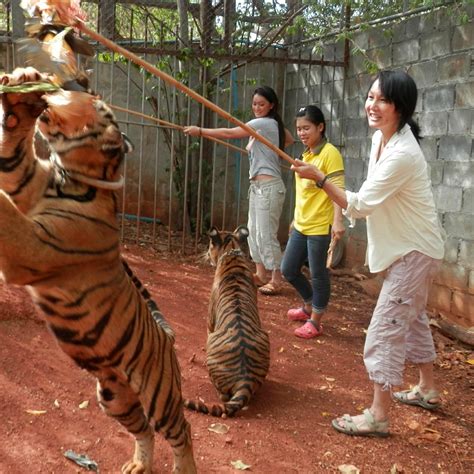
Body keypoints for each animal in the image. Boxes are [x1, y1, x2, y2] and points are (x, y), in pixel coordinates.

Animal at [0, 67, 196, 474]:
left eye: (96, 102)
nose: (77, 82)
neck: (69, 177)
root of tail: (168, 339)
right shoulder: (23, 180)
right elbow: (12, 156)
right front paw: (22, 89)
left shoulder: (32, 246)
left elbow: (4, 213)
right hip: (113, 395)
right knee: (143, 430)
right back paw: (138, 464)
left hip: (161, 396)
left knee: (181, 430)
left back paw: (184, 468)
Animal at [183, 228, 268, 416]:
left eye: (209, 244)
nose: (206, 253)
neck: (232, 250)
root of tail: (245, 380)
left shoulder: (210, 322)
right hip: (265, 335)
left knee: (222, 396)